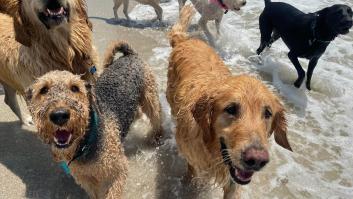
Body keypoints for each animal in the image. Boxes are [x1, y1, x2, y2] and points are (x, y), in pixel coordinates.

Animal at [166, 5, 290, 199]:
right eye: (231, 109)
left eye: (268, 113)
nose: (256, 160)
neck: (212, 150)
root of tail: (185, 41)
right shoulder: (191, 155)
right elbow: (191, 170)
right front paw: (187, 184)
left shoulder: (233, 181)